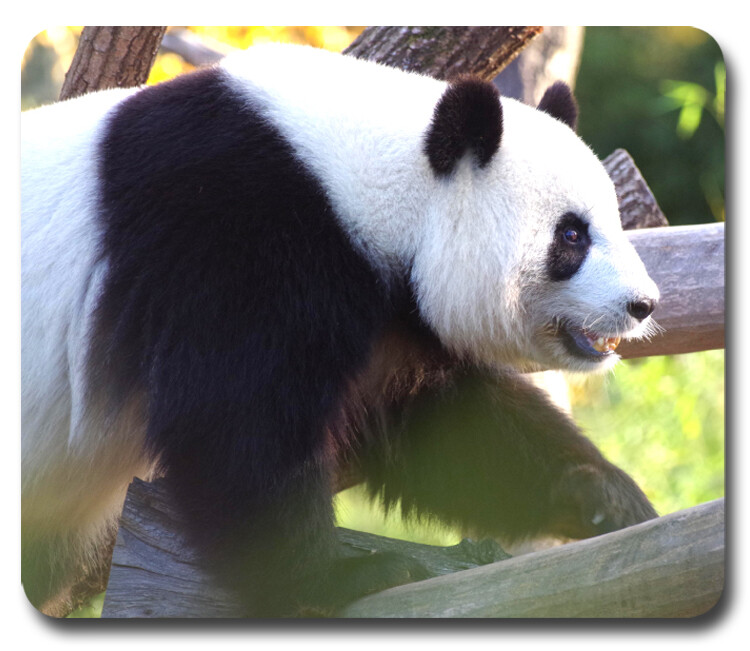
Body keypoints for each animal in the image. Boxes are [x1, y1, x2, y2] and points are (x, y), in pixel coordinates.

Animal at [21, 43, 661, 617]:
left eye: (612, 221)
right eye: (572, 236)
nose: (643, 305)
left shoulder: (389, 318)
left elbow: (446, 425)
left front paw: (607, 499)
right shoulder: (232, 236)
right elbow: (237, 423)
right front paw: (342, 576)